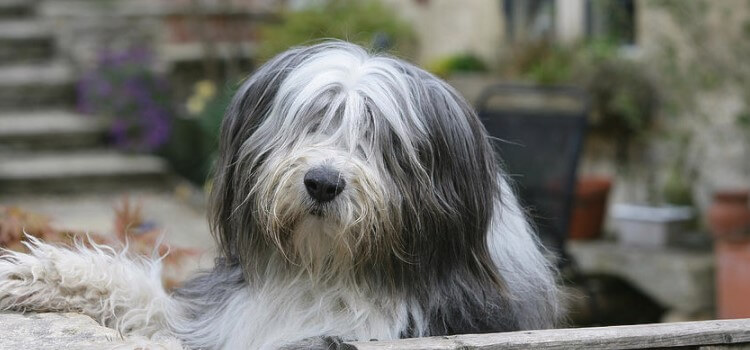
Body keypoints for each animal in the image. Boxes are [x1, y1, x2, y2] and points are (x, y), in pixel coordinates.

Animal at [0, 42, 560, 348]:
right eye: (312, 119)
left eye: (380, 138)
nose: (322, 182)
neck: (326, 273)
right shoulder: (220, 318)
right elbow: (142, 298)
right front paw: (36, 275)